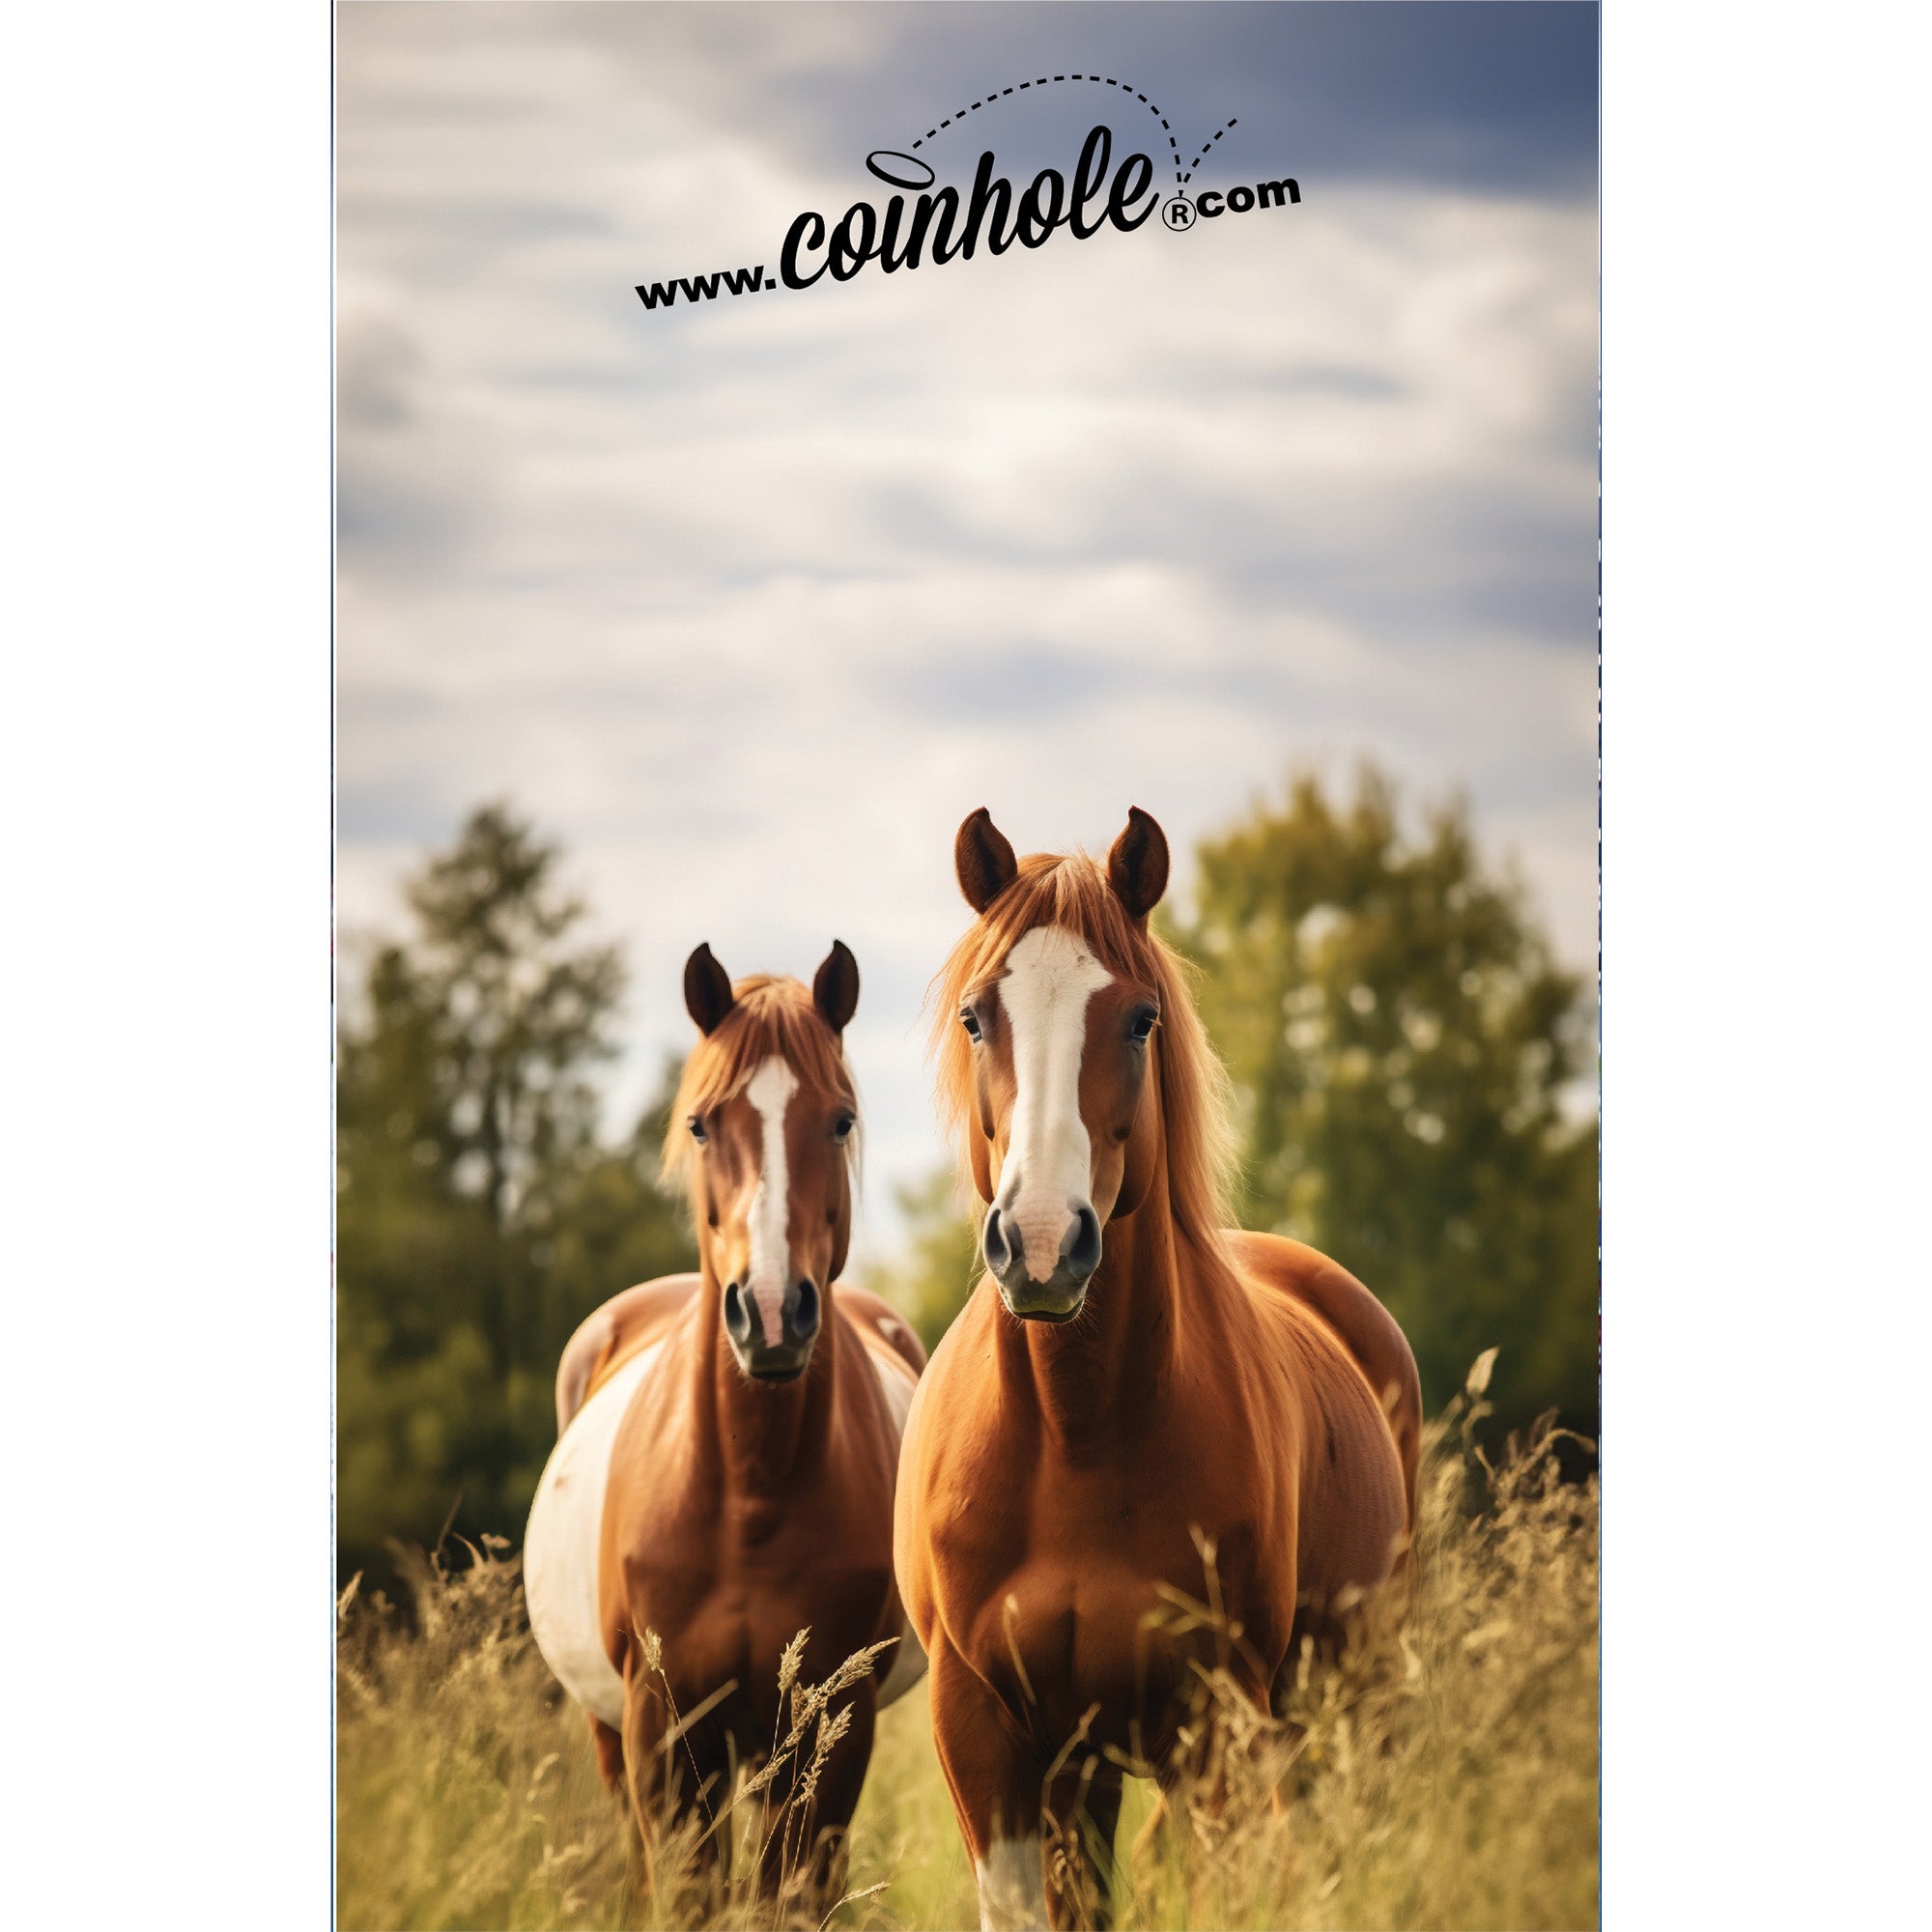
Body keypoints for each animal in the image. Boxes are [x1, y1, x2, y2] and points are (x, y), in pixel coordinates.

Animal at [523, 941, 928, 1897]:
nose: (773, 1314)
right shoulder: (662, 1730)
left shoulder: (830, 1721)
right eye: (703, 1125)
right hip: (617, 1735)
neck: (750, 1489)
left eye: (841, 1121)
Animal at [893, 809, 1422, 1931]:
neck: (1076, 1433)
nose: (1042, 1245)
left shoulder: (1214, 1723)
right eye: (975, 1017)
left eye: (1139, 1019)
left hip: (1343, 1712)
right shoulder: (986, 1735)